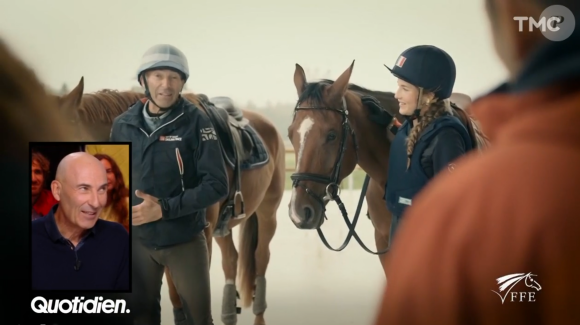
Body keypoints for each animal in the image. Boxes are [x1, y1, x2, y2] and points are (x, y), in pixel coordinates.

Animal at [58, 78, 286, 324]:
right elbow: (176, 297)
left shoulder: (198, 239)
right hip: (223, 227)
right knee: (231, 260)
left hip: (267, 213)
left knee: (261, 258)